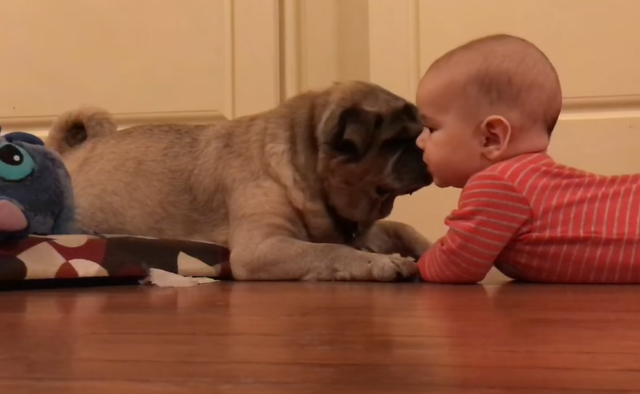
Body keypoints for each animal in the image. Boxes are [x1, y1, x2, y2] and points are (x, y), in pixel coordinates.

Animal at [47, 81, 432, 282]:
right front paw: (380, 263)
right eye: (398, 141)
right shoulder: (262, 247)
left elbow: (404, 229)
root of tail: (68, 153)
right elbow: (330, 250)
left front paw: (427, 248)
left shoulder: (370, 229)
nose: (425, 145)